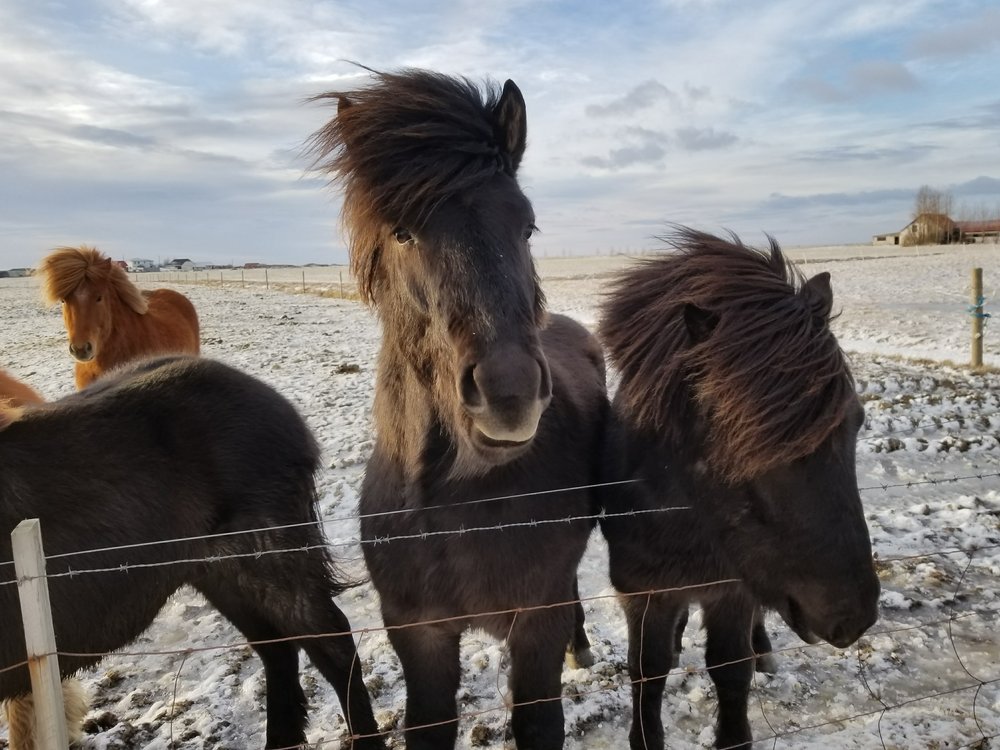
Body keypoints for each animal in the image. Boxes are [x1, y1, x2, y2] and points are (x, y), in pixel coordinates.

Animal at [310, 69, 608, 748]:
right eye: (403, 232)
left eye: (526, 227)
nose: (509, 393)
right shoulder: (418, 635)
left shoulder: (535, 622)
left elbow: (539, 720)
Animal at [596, 231, 880, 750]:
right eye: (740, 441)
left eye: (855, 422)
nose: (852, 615)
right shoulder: (643, 590)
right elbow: (647, 671)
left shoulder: (731, 590)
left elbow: (730, 670)